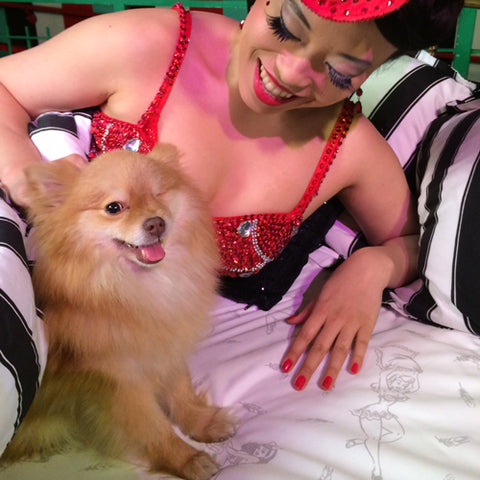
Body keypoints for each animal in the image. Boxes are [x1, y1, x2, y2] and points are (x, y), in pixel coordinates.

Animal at [1, 145, 234, 480]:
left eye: (159, 195)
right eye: (114, 208)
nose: (155, 223)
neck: (139, 287)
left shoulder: (168, 346)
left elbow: (181, 390)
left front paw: (201, 422)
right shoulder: (121, 381)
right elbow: (154, 426)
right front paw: (186, 458)